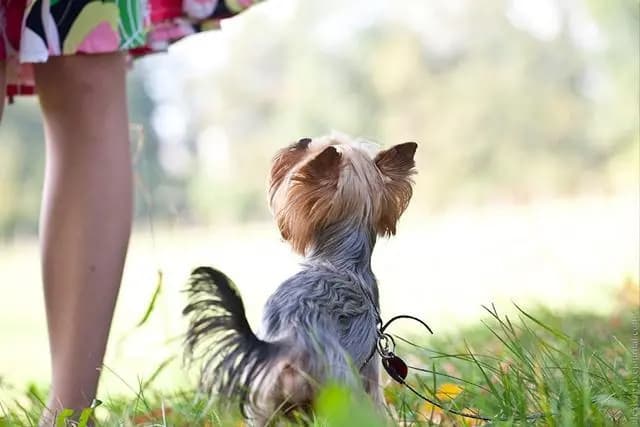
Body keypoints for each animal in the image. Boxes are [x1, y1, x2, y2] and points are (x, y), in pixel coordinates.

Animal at [182, 134, 418, 424]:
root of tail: (290, 344)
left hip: (263, 402)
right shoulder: (370, 367)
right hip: (340, 391)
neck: (339, 259)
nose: (302, 140)